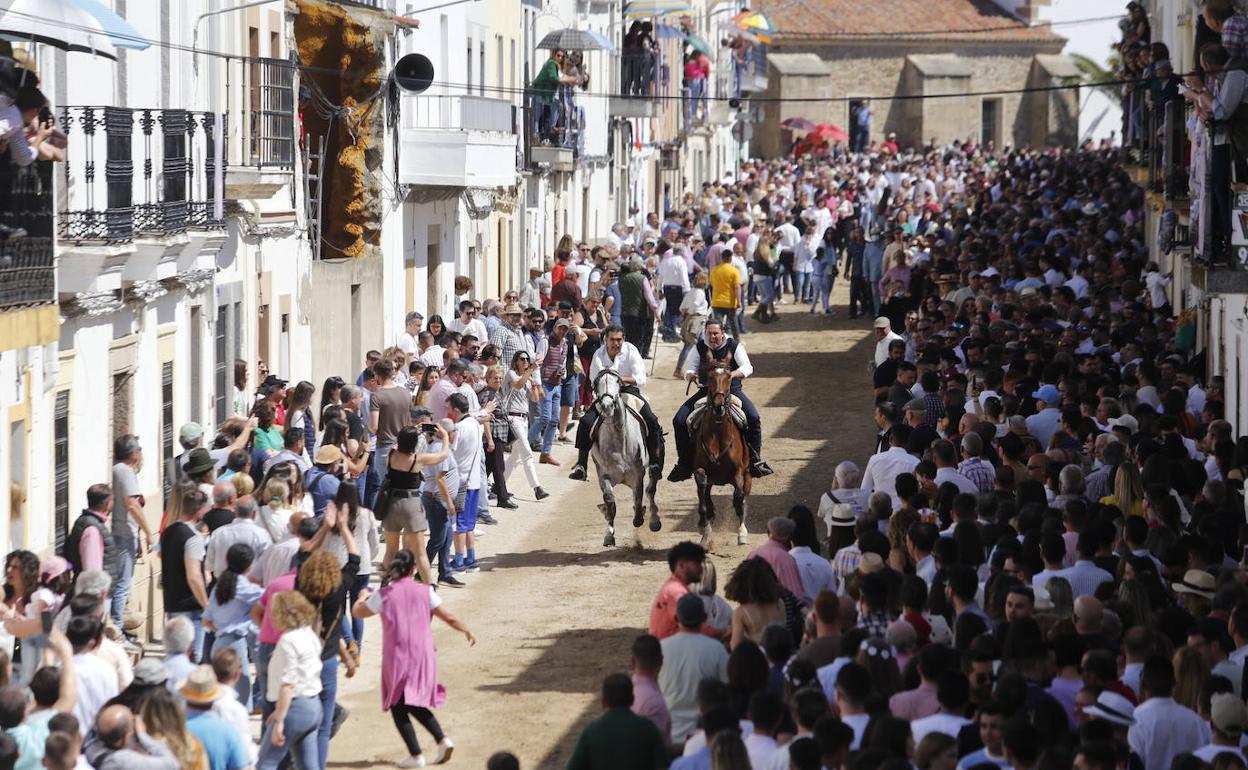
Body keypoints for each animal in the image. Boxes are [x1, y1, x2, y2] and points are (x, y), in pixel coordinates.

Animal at [591, 366, 663, 544]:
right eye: (596, 382)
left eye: (618, 381)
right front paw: (609, 534)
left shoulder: (637, 474)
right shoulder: (603, 475)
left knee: (651, 490)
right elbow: (610, 500)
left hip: (653, 468)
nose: (607, 406)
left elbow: (638, 500)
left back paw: (654, 521)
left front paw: (641, 517)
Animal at [693, 361, 748, 546]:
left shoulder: (738, 470)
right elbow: (703, 495)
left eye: (729, 377)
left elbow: (739, 496)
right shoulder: (700, 470)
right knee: (706, 495)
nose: (718, 405)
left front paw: (742, 533)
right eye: (710, 377)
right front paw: (704, 529)